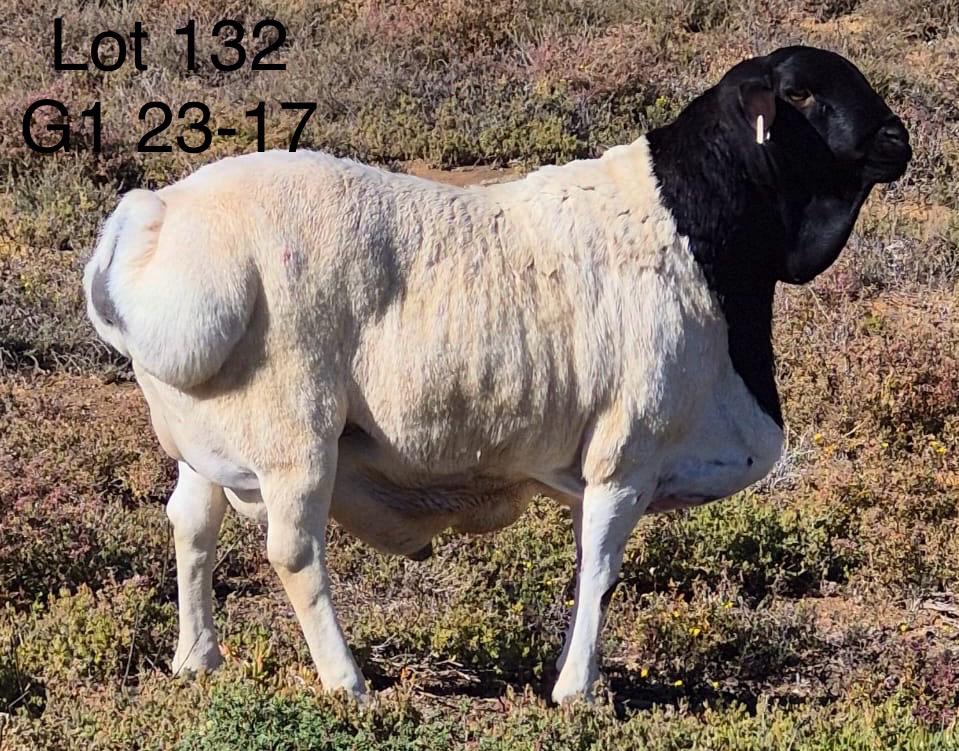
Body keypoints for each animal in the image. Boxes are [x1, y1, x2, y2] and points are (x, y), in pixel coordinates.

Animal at [83, 45, 911, 704]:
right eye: (799, 94)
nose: (896, 140)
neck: (693, 231)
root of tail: (155, 220)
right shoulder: (624, 455)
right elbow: (599, 572)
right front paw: (577, 690)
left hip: (207, 434)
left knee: (191, 524)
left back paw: (197, 659)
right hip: (294, 437)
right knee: (293, 553)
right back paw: (346, 682)